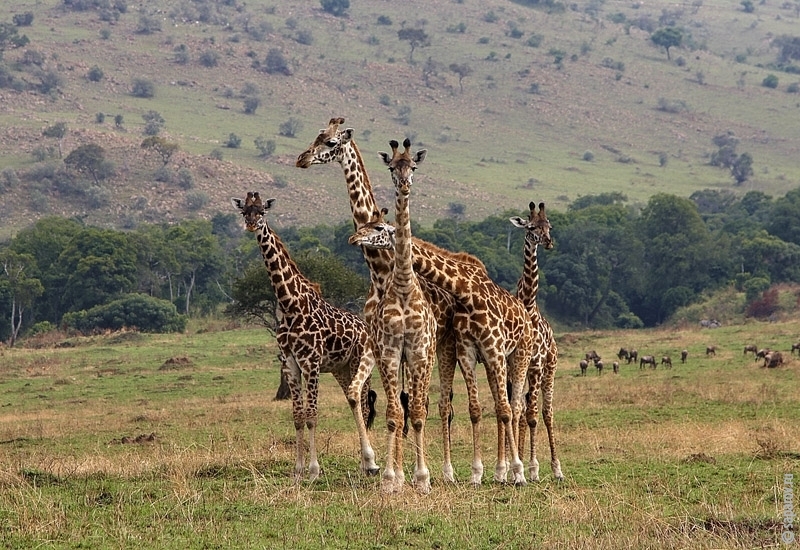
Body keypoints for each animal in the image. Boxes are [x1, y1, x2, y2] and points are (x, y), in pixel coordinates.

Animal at [231, 193, 382, 484]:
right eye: (244, 211)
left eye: (262, 211)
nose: (252, 225)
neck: (289, 303)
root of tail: (366, 329)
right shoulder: (290, 362)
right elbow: (298, 416)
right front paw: (298, 470)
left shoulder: (310, 361)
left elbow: (312, 415)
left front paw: (313, 470)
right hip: (340, 369)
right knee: (352, 401)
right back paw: (363, 463)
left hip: (359, 362)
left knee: (363, 404)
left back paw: (370, 463)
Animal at [346, 139, 438, 496]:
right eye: (391, 167)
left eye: (412, 166)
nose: (404, 184)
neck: (400, 285)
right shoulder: (387, 352)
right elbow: (392, 414)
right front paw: (390, 479)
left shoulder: (418, 351)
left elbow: (417, 413)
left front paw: (422, 478)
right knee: (397, 405)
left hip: (420, 359)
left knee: (416, 405)